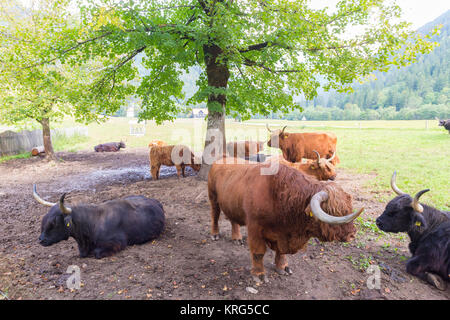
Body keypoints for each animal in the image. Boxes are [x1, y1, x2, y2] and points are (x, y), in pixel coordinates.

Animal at [209, 162, 364, 282]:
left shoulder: (283, 233)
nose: (352, 235)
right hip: (213, 198)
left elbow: (281, 252)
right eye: (335, 212)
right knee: (215, 215)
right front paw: (259, 274)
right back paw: (215, 234)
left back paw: (236, 238)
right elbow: (258, 252)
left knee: (233, 221)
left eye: (349, 208)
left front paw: (283, 267)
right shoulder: (255, 228)